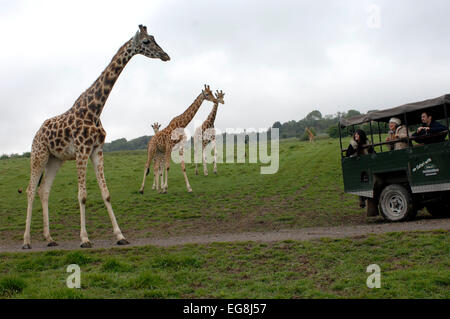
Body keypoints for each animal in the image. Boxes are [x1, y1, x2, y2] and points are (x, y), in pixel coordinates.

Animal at [21, 25, 170, 250]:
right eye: (146, 42)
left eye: (154, 38)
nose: (165, 55)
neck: (94, 110)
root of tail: (36, 133)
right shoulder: (82, 150)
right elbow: (82, 196)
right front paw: (84, 239)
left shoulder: (97, 151)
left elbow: (106, 193)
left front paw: (120, 236)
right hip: (39, 155)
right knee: (30, 190)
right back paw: (27, 241)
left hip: (55, 159)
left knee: (43, 190)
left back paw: (50, 238)